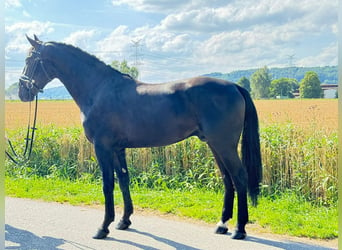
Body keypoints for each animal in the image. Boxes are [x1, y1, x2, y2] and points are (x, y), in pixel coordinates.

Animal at [18, 34, 262, 240]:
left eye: (30, 59)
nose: (22, 92)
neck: (99, 89)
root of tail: (234, 86)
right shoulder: (118, 148)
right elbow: (123, 180)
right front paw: (124, 221)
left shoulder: (102, 147)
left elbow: (107, 184)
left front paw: (103, 227)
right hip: (214, 144)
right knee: (227, 179)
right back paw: (222, 224)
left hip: (224, 145)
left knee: (239, 177)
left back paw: (239, 229)